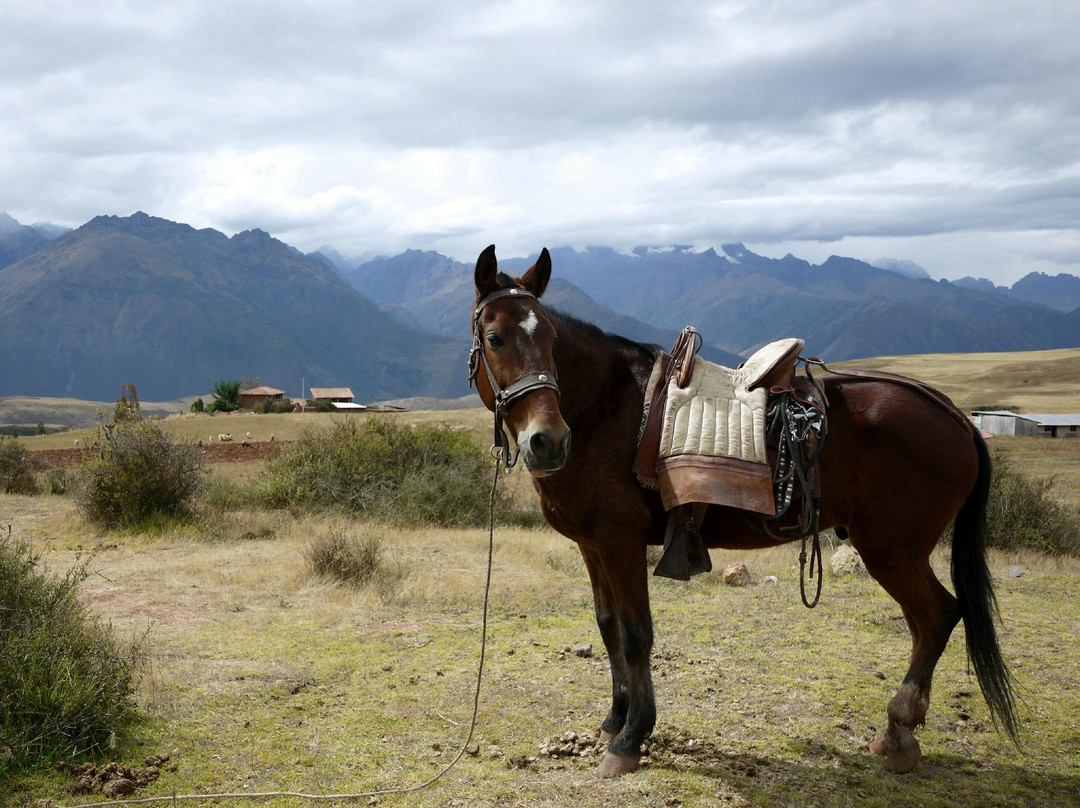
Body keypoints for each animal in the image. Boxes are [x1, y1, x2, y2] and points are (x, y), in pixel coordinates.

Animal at [468, 244, 1015, 777]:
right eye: (495, 338)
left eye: (551, 339)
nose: (548, 442)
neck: (604, 408)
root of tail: (957, 418)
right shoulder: (593, 546)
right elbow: (608, 630)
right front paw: (614, 721)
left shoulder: (621, 543)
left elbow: (635, 635)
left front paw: (631, 738)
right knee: (928, 622)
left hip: (892, 550)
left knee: (938, 616)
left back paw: (900, 728)